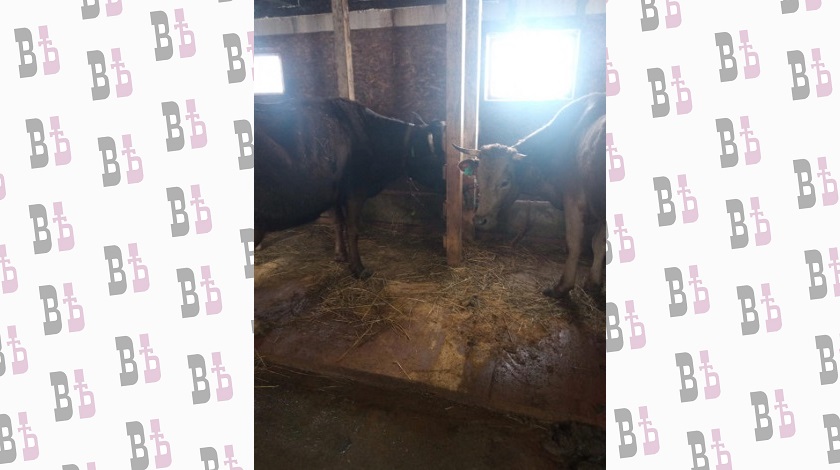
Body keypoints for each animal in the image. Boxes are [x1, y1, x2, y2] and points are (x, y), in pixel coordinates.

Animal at [255, 97, 445, 279]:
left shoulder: (334, 194)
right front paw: (358, 269)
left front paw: (340, 255)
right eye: (441, 158)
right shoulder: (355, 193)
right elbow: (353, 230)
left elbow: (338, 222)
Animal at [454, 92, 607, 300]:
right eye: (478, 178)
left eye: (505, 182)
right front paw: (593, 282)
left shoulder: (574, 200)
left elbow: (575, 244)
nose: (479, 220)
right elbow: (599, 243)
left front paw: (562, 287)